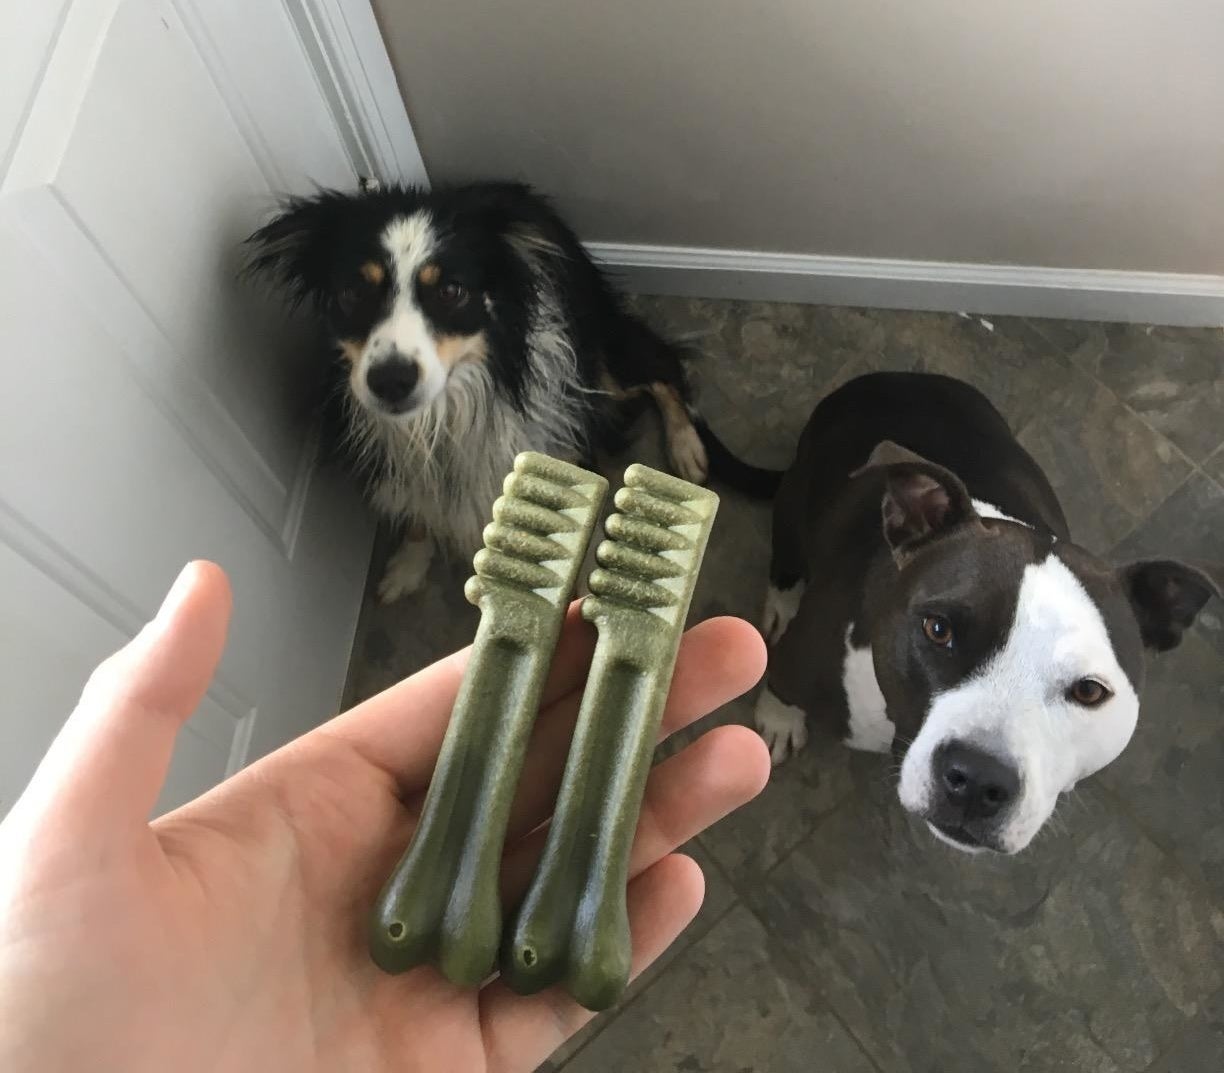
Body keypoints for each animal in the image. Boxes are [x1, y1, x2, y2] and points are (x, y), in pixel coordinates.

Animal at [246, 183, 753, 599]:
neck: (445, 416)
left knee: (663, 367)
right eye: (352, 293)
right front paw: (407, 569)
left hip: (603, 359)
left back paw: (688, 450)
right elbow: (418, 511)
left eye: (451, 290)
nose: (390, 381)